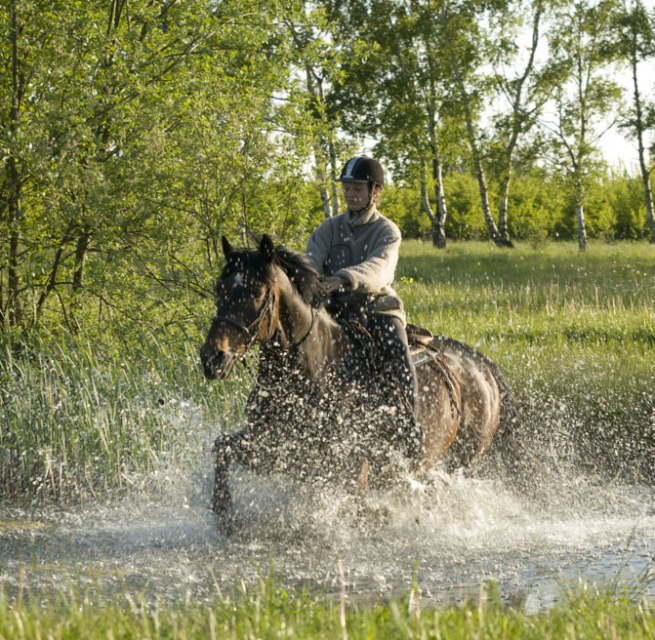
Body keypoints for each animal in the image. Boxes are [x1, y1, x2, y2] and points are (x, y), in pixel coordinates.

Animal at [199, 235, 512, 524]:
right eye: (219, 289)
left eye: (256, 291)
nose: (213, 358)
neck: (316, 373)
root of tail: (481, 365)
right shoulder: (275, 451)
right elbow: (222, 447)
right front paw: (224, 511)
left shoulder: (346, 470)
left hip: (466, 458)